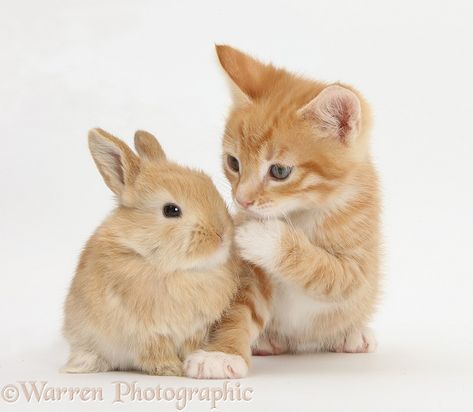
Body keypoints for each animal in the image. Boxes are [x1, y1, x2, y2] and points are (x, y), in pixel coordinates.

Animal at [62, 130, 238, 376]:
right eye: (171, 210)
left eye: (207, 183)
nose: (222, 234)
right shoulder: (145, 333)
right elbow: (155, 353)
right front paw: (173, 369)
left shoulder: (195, 330)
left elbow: (190, 346)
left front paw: (190, 361)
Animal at [184, 45, 380, 380]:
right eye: (233, 163)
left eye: (279, 171)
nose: (242, 200)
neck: (301, 213)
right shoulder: (251, 275)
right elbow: (240, 307)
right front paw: (221, 353)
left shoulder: (359, 268)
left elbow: (327, 271)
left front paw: (262, 236)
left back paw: (352, 334)